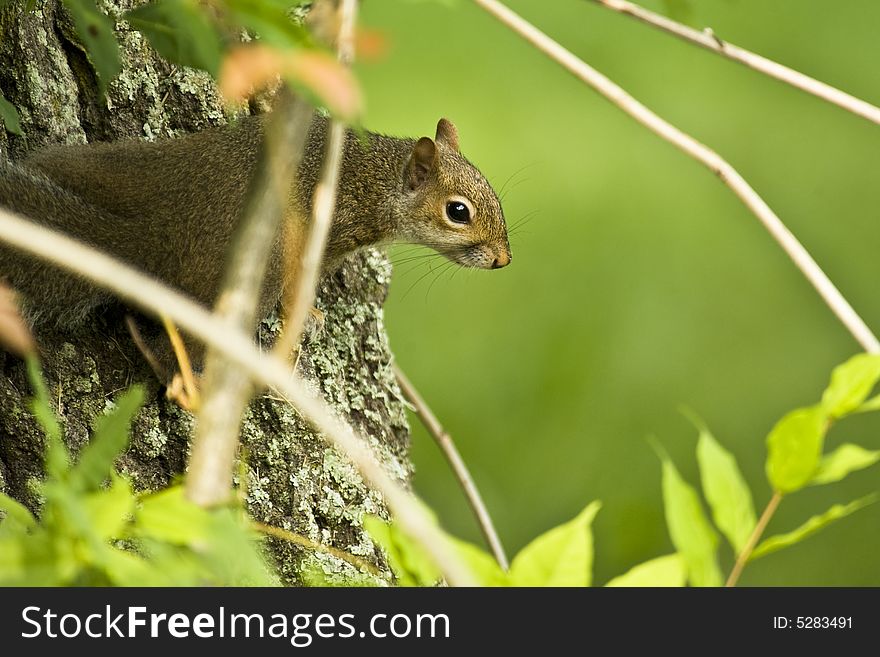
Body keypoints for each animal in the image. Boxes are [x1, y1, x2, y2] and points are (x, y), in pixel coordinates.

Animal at [0, 113, 508, 368]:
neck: (376, 179)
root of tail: (156, 237)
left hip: (111, 166)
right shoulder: (324, 235)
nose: (503, 259)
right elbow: (299, 286)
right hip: (253, 273)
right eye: (457, 212)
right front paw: (310, 315)